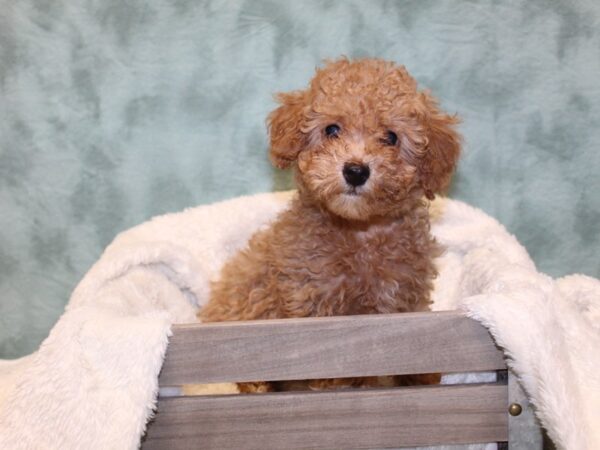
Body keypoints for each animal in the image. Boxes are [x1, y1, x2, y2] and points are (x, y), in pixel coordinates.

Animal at [199, 58, 462, 392]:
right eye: (332, 130)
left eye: (390, 137)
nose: (355, 170)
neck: (359, 230)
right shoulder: (314, 304)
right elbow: (330, 374)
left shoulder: (406, 299)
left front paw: (423, 379)